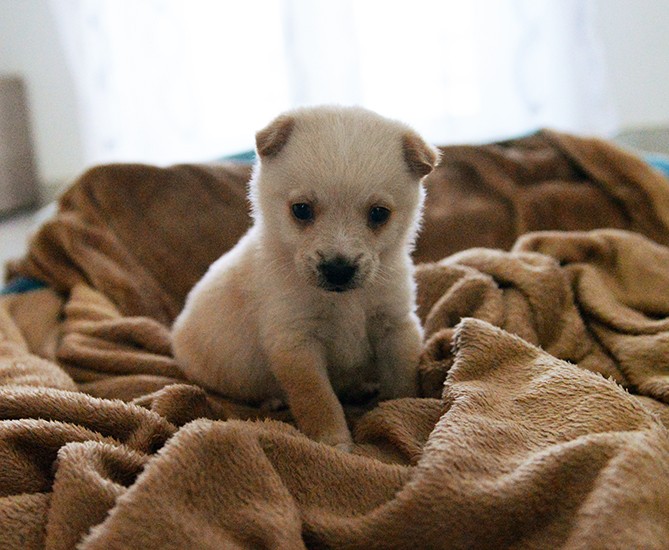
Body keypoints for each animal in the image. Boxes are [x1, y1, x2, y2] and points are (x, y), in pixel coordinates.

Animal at [171, 105, 438, 450]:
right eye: (301, 210)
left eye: (379, 214)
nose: (338, 269)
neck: (344, 301)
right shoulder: (296, 342)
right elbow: (317, 398)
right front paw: (333, 441)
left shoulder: (395, 325)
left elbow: (402, 379)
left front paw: (403, 411)